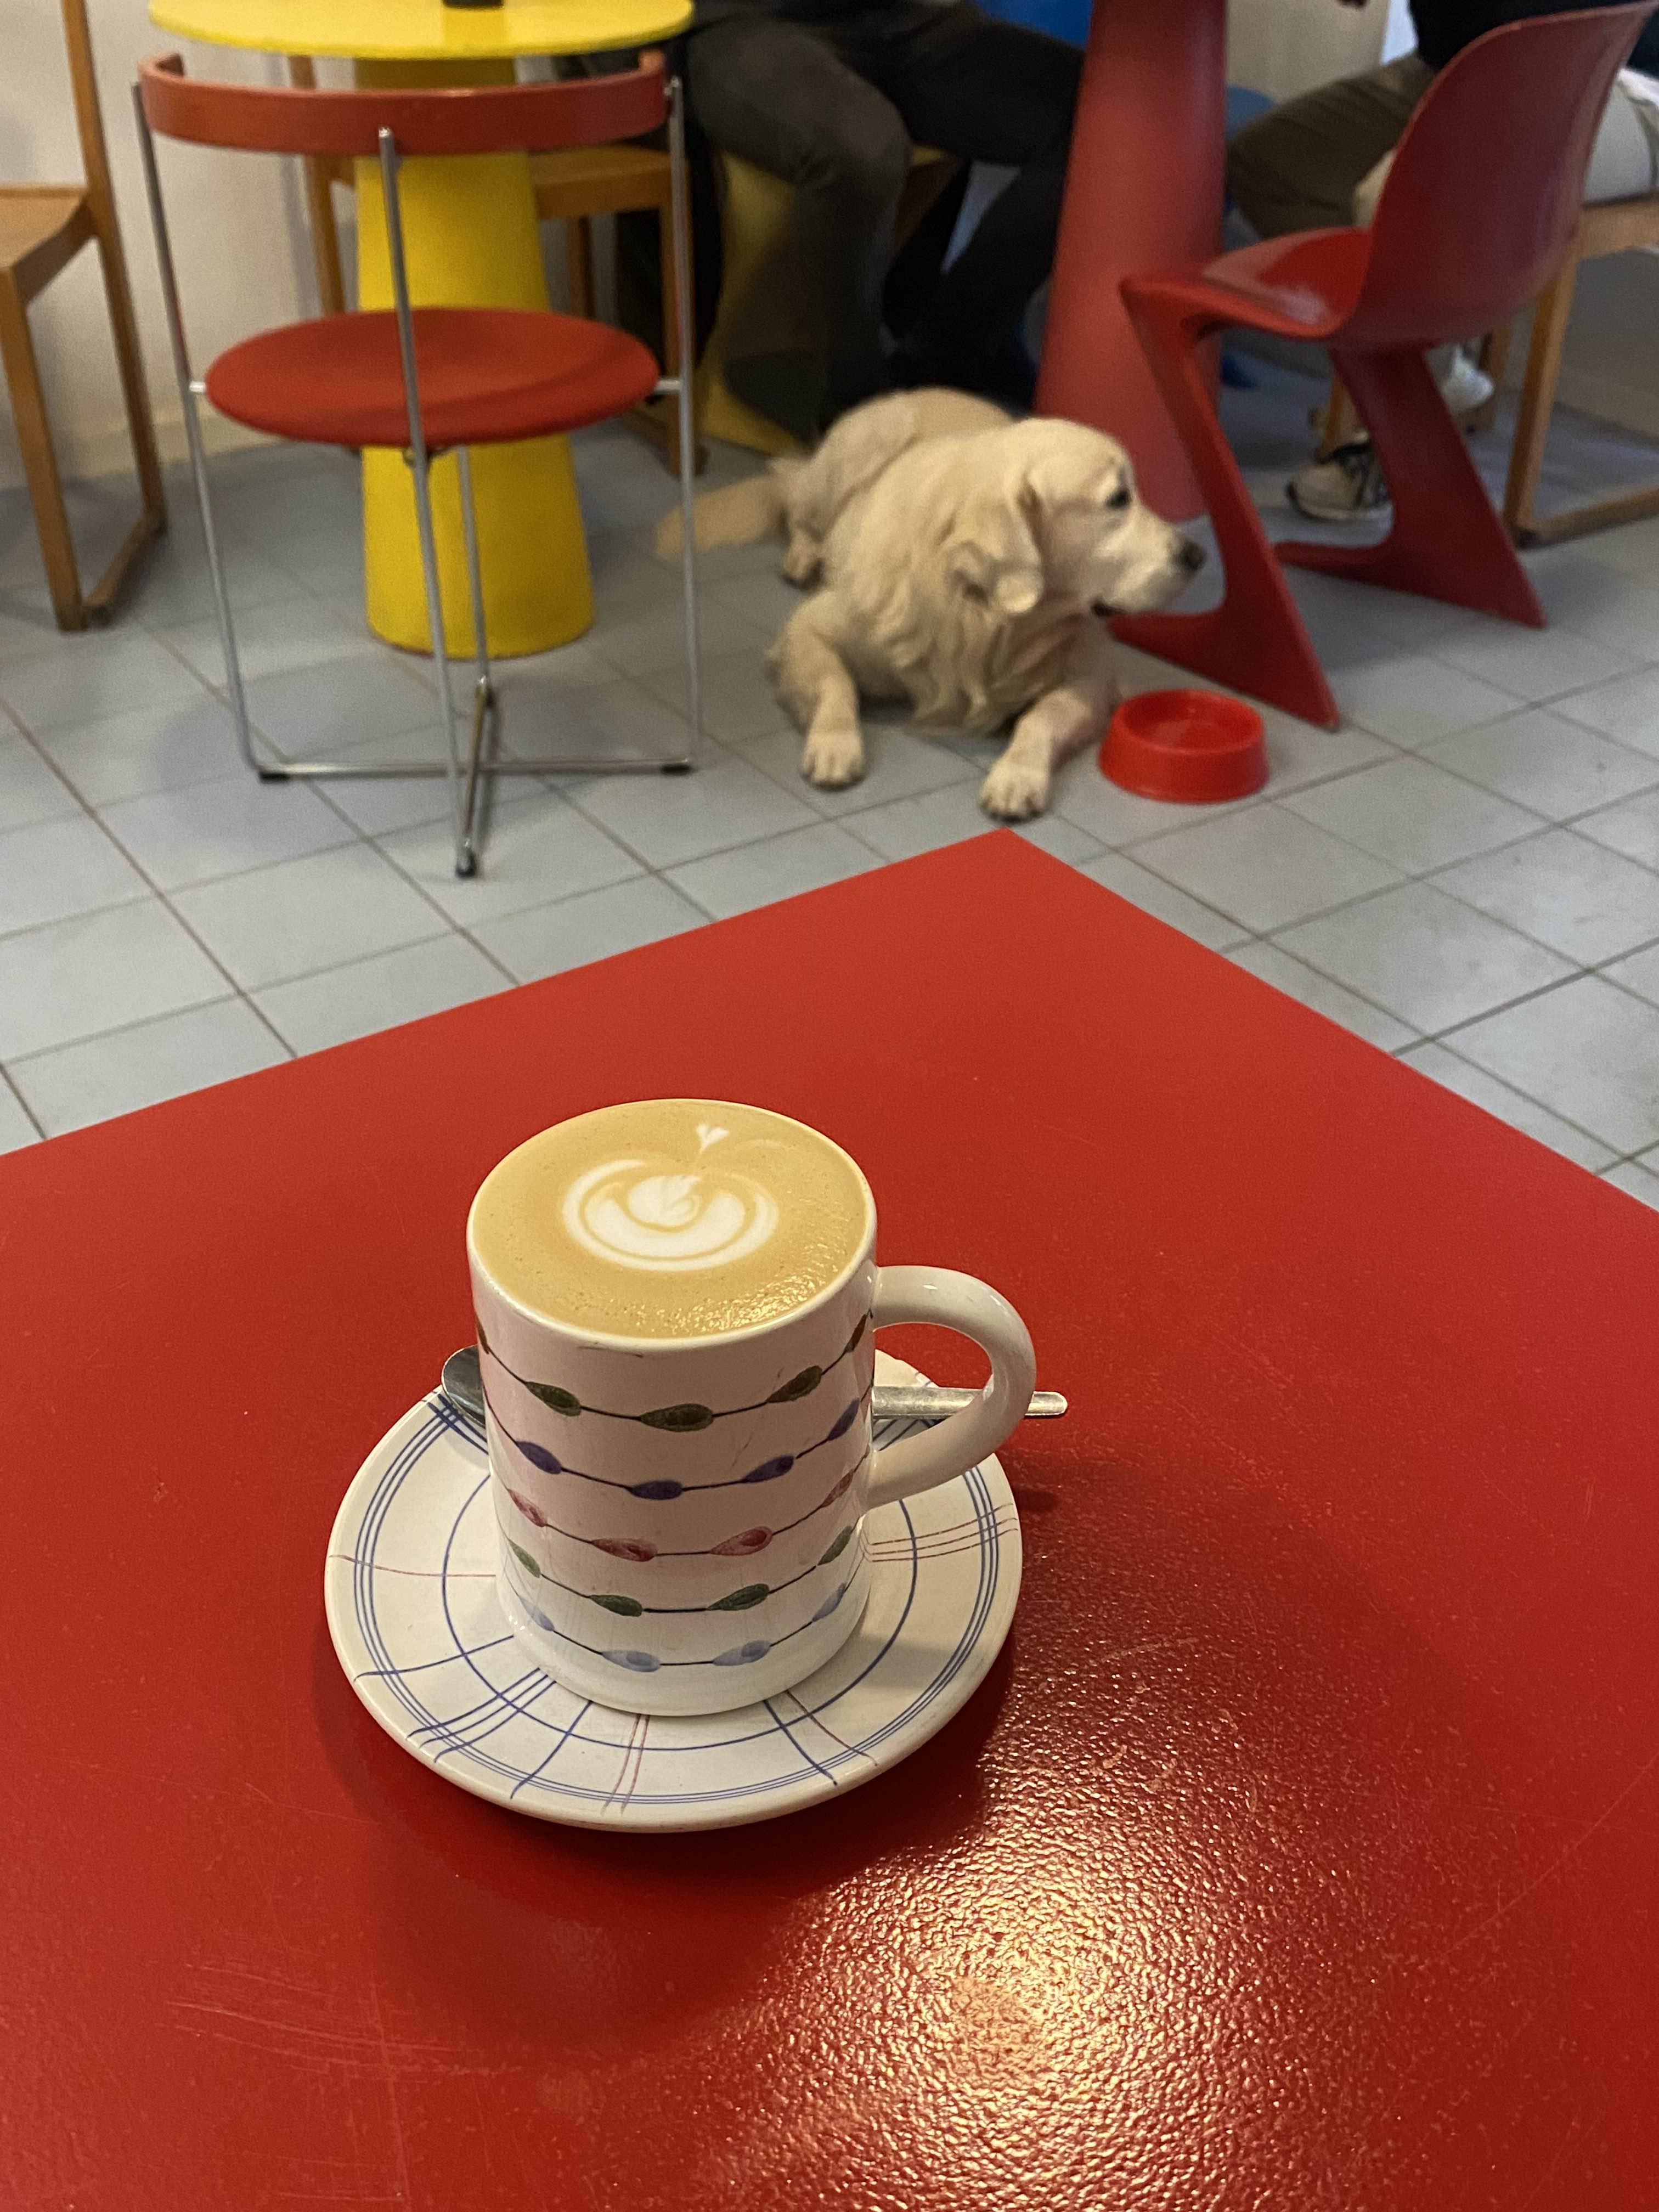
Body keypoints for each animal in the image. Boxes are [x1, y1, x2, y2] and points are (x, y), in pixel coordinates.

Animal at [656, 389, 1203, 819]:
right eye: (1117, 499)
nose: (1196, 555)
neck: (982, 613)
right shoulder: (809, 628)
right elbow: (835, 684)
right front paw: (834, 745)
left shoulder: (1092, 673)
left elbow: (1042, 717)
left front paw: (1016, 777)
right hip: (858, 449)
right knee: (798, 510)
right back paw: (804, 554)